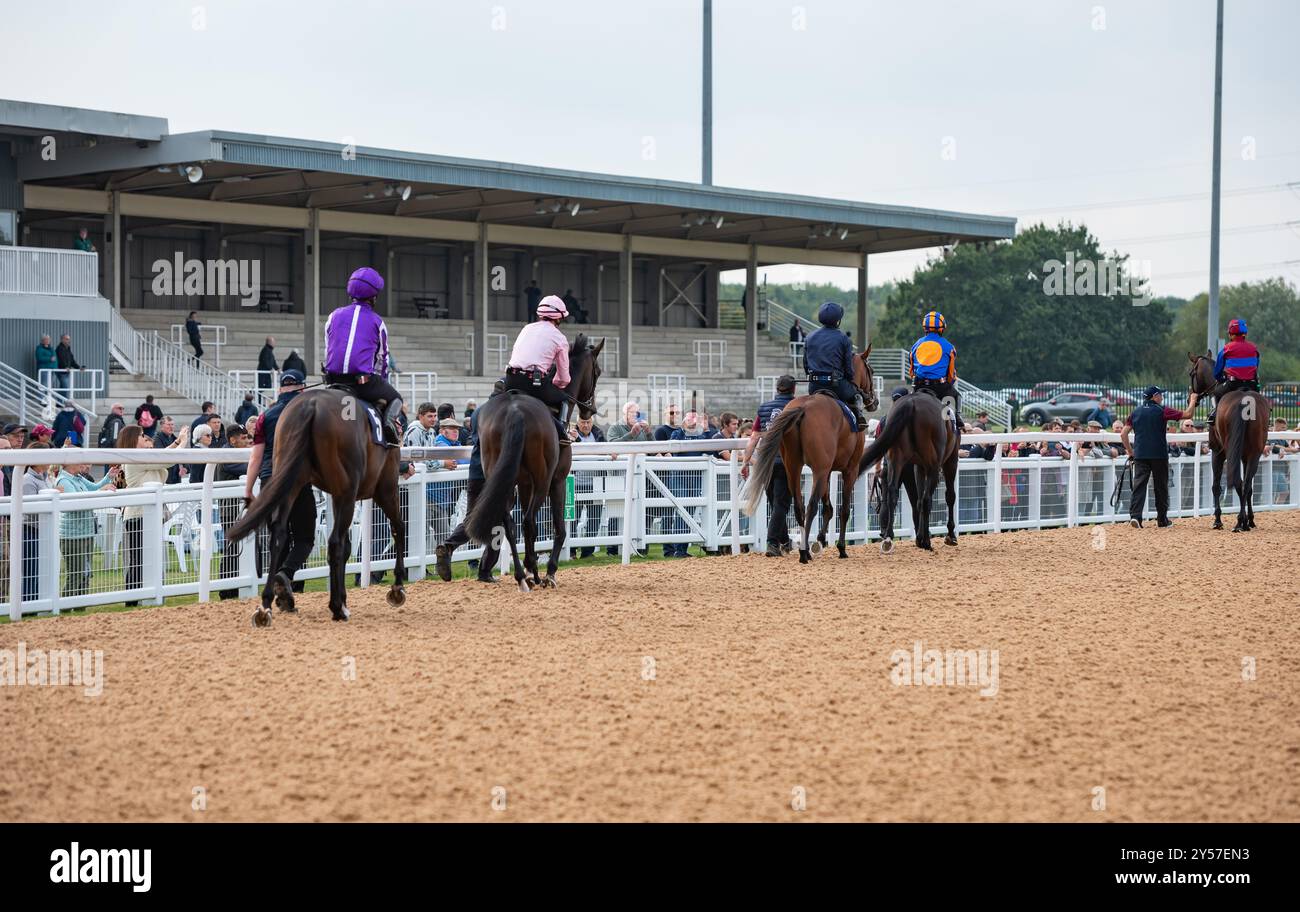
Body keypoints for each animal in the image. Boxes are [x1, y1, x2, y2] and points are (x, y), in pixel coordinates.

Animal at [226, 384, 403, 628]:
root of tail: (311, 406)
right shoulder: (384, 489)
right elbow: (397, 529)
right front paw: (397, 588)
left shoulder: (337, 495)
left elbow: (348, 547)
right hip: (350, 492)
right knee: (335, 542)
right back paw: (336, 608)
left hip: (292, 483)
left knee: (279, 536)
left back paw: (267, 605)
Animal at [465, 335, 600, 592]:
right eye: (597, 371)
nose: (589, 411)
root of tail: (515, 411)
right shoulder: (557, 481)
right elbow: (559, 528)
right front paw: (550, 573)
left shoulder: (524, 484)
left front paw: (530, 568)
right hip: (543, 479)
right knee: (528, 521)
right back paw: (536, 575)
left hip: (501, 477)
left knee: (509, 523)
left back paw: (521, 576)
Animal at [743, 350, 883, 563]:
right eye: (871, 370)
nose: (874, 401)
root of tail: (803, 408)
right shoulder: (849, 469)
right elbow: (843, 510)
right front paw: (841, 548)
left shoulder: (826, 470)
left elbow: (828, 507)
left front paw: (821, 539)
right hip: (819, 470)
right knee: (810, 506)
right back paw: (804, 552)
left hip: (793, 467)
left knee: (799, 507)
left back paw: (804, 548)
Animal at [857, 384, 961, 550]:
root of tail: (910, 404)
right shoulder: (950, 461)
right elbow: (949, 496)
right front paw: (950, 535)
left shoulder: (919, 466)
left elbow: (917, 499)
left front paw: (919, 537)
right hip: (933, 465)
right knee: (926, 499)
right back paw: (926, 541)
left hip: (896, 459)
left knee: (893, 493)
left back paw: (889, 537)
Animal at [1190, 350, 1268, 535]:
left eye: (1191, 373)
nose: (1193, 396)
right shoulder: (1245, 455)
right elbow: (1249, 488)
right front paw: (1250, 519)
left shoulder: (1217, 452)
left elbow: (1216, 486)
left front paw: (1217, 520)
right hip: (1255, 453)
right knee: (1246, 484)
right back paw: (1244, 521)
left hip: (1229, 450)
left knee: (1238, 483)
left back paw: (1239, 522)